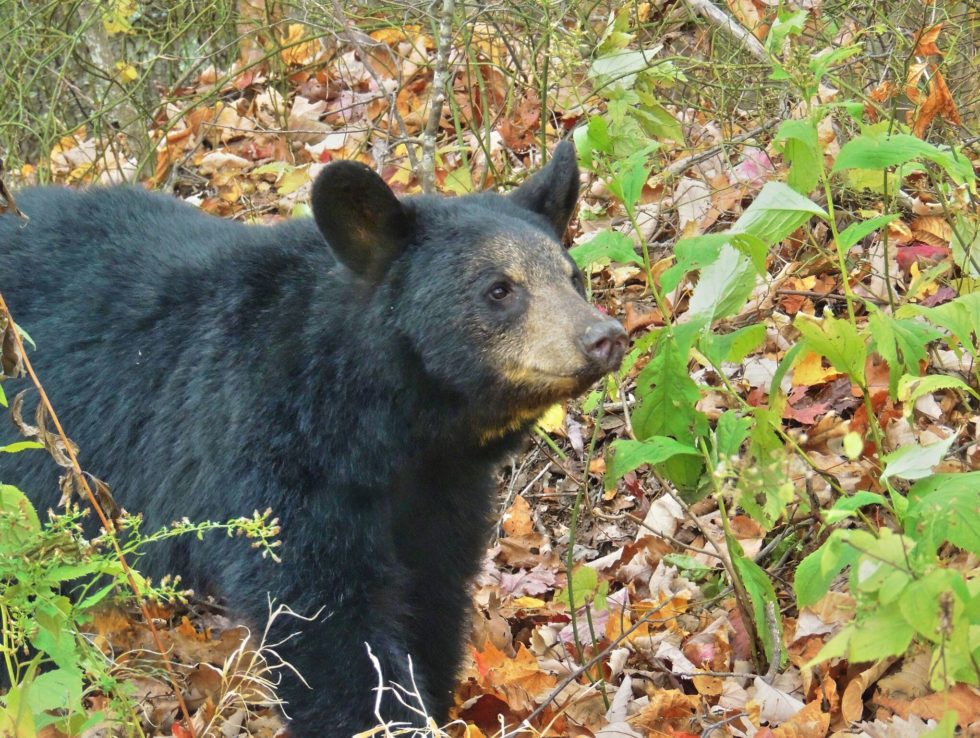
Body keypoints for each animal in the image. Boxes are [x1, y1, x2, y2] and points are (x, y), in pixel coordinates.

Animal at [0, 141, 624, 732]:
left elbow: (433, 593)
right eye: (499, 289)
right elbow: (324, 623)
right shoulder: (269, 457)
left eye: (572, 275)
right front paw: (387, 718)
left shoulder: (439, 491)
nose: (605, 336)